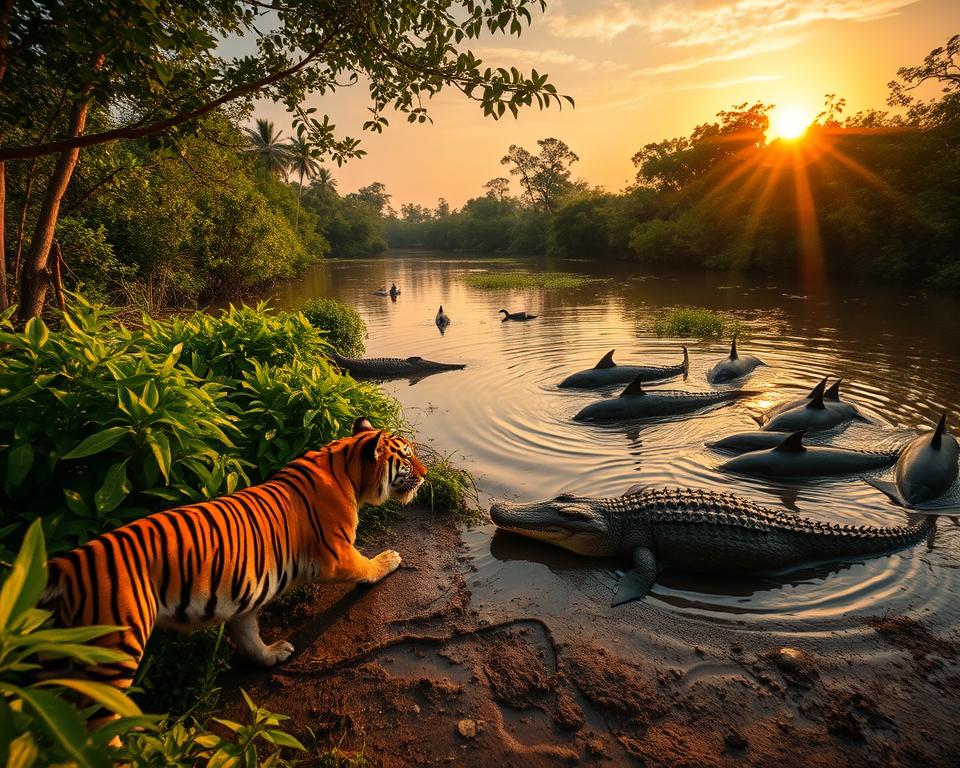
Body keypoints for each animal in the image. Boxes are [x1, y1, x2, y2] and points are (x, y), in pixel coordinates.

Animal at [42, 417, 426, 690]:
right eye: (407, 457)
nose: (425, 475)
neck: (345, 468)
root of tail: (65, 565)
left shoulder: (242, 591)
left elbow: (247, 632)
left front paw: (269, 655)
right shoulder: (336, 555)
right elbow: (366, 566)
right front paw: (389, 560)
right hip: (110, 654)